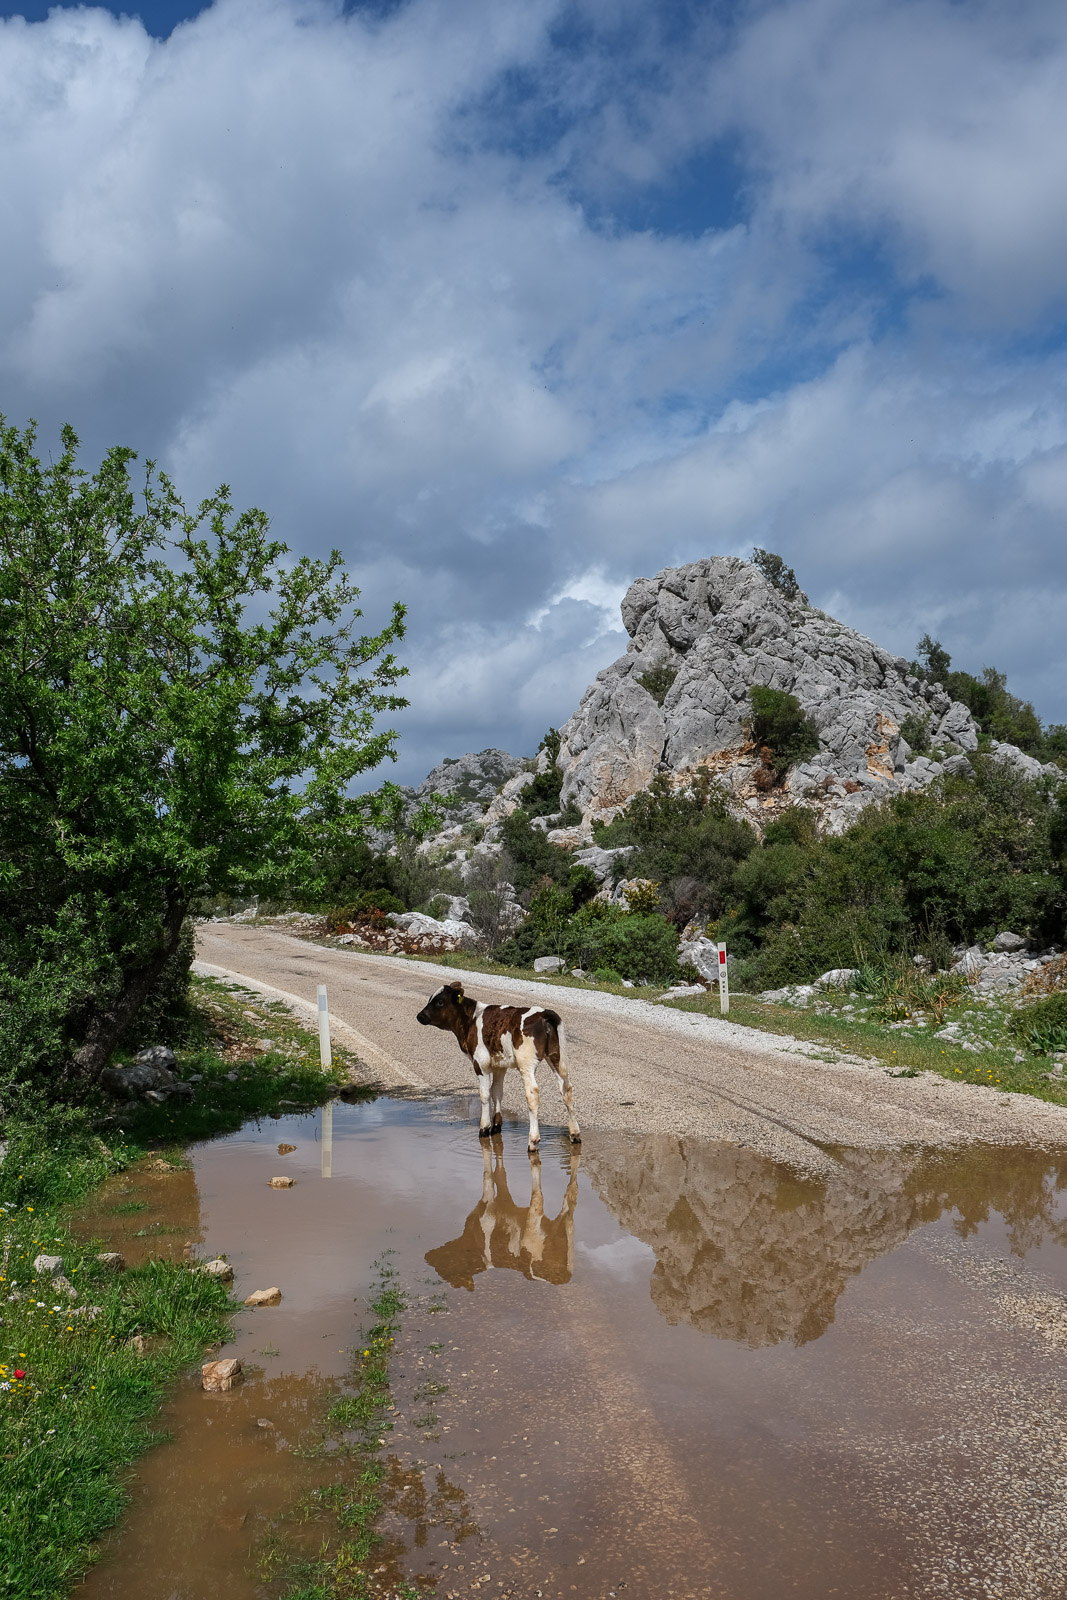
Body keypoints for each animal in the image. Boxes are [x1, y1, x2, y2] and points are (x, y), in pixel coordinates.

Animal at [415, 982, 580, 1151]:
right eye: (430, 998)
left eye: (440, 1002)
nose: (420, 1016)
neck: (470, 1020)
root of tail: (544, 1013)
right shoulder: (500, 1065)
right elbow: (497, 1092)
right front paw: (496, 1126)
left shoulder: (480, 1063)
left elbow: (485, 1094)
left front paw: (484, 1128)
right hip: (556, 1057)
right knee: (566, 1089)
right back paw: (575, 1134)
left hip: (526, 1064)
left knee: (533, 1093)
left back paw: (533, 1140)